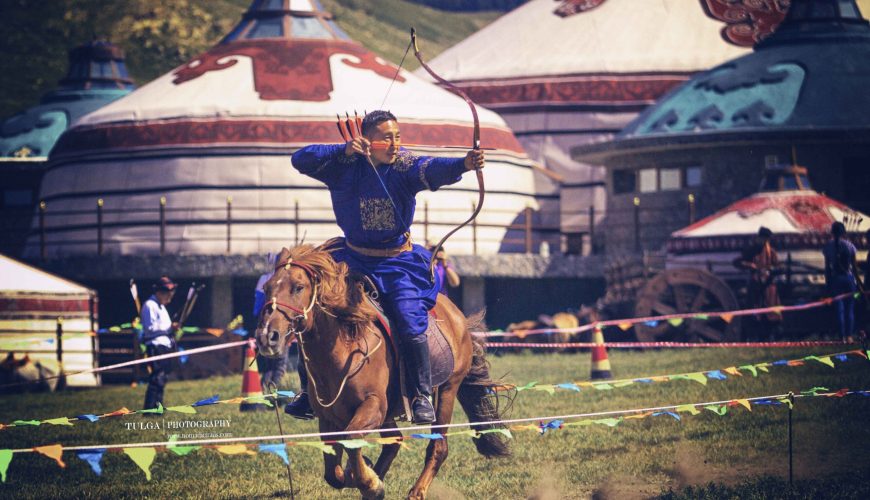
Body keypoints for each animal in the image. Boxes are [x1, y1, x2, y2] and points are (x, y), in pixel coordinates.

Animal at [255, 244, 508, 498]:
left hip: (447, 390)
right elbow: (333, 473)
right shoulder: (329, 418)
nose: (268, 336)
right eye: (267, 288)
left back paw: (416, 490)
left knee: (438, 446)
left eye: (298, 287)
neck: (345, 349)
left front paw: (370, 482)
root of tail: (458, 317)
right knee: (394, 440)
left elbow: (351, 438)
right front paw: (366, 477)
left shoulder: (373, 405)